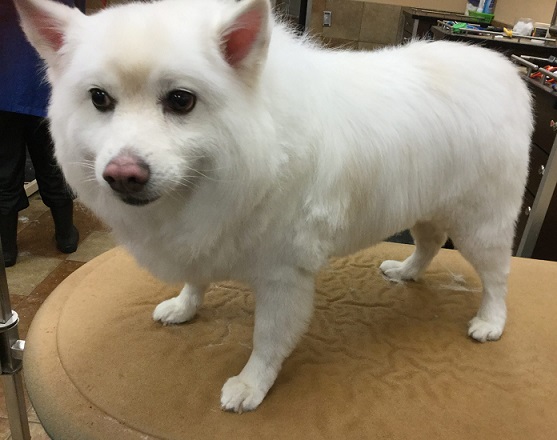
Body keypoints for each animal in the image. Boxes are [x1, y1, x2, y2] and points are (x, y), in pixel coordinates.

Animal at [16, 0, 528, 412]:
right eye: (99, 99)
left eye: (181, 100)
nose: (123, 173)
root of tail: (502, 68)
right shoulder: (203, 236)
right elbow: (196, 278)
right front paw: (185, 307)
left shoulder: (283, 277)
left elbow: (268, 339)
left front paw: (251, 385)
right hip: (425, 205)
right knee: (430, 242)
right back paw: (406, 271)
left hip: (480, 224)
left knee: (498, 276)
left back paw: (490, 321)